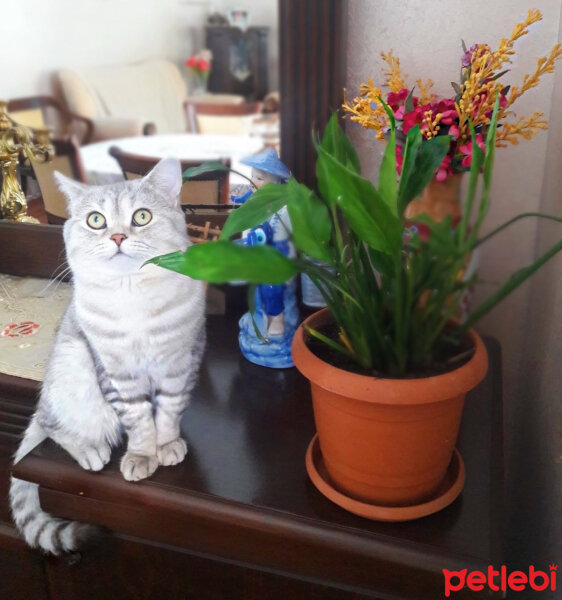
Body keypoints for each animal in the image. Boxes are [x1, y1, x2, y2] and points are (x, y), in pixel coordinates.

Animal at [9, 158, 206, 552]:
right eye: (96, 220)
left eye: (142, 216)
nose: (117, 237)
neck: (134, 298)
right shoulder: (117, 374)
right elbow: (139, 421)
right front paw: (142, 456)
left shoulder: (180, 363)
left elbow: (169, 411)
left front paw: (167, 445)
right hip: (75, 373)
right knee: (52, 425)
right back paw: (90, 451)